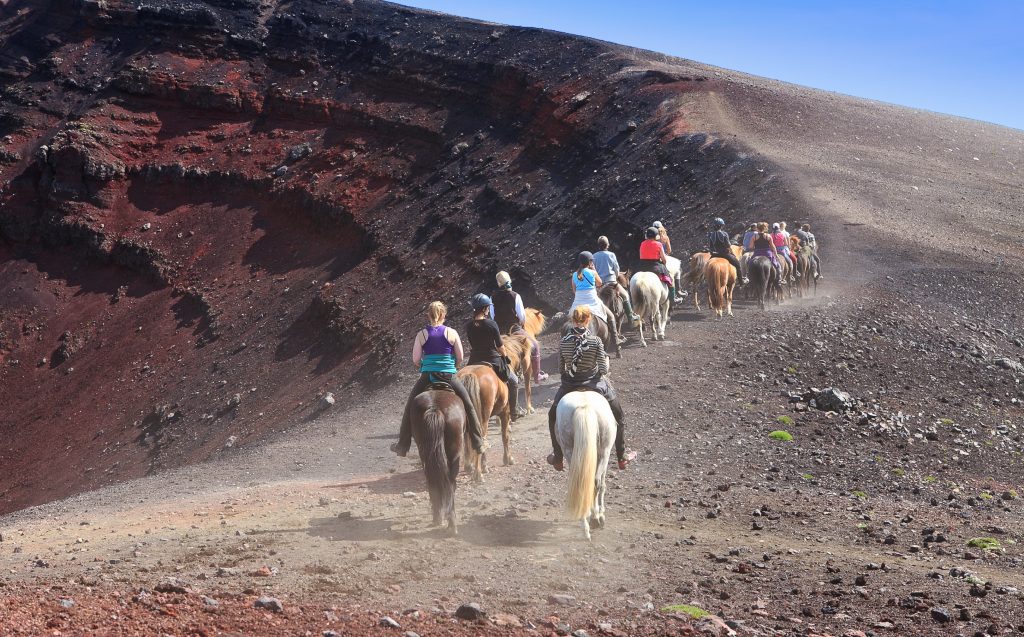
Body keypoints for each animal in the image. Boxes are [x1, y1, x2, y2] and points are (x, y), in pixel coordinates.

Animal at [411, 391, 468, 536]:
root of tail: (434, 408)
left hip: (424, 453)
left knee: (433, 481)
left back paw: (440, 518)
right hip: (454, 454)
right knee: (450, 483)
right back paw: (450, 524)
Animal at [557, 391, 610, 540]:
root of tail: (585, 406)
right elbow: (602, 486)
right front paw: (601, 514)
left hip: (569, 450)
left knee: (581, 484)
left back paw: (586, 527)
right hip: (605, 452)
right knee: (596, 483)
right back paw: (596, 519)